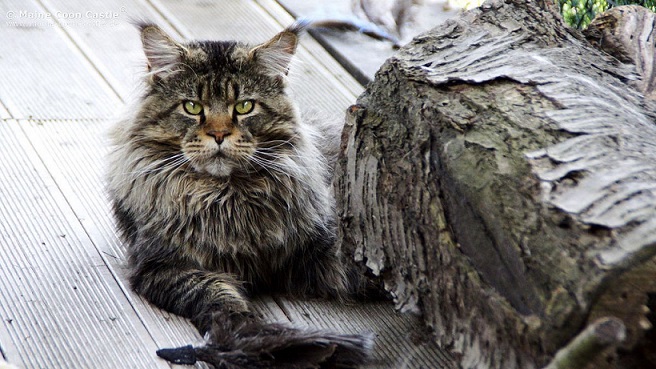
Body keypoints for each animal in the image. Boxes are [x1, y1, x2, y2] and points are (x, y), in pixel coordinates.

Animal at [107, 20, 374, 368]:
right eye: (192, 107)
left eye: (244, 106)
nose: (219, 134)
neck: (225, 197)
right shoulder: (160, 266)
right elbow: (216, 293)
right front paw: (245, 334)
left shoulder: (322, 251)